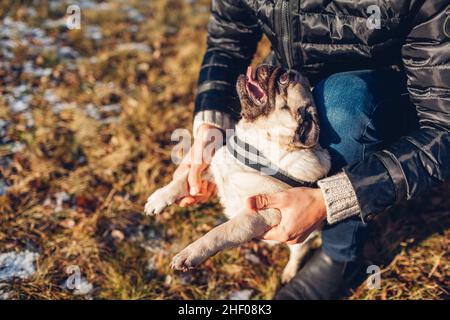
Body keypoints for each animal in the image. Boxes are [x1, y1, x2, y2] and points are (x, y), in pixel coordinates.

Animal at [144, 65, 330, 282]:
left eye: (283, 79)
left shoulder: (261, 213)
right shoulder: (212, 171)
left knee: (300, 250)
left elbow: (220, 232)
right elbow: (182, 181)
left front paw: (191, 253)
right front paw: (159, 198)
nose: (272, 67)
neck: (256, 146)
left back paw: (289, 272)